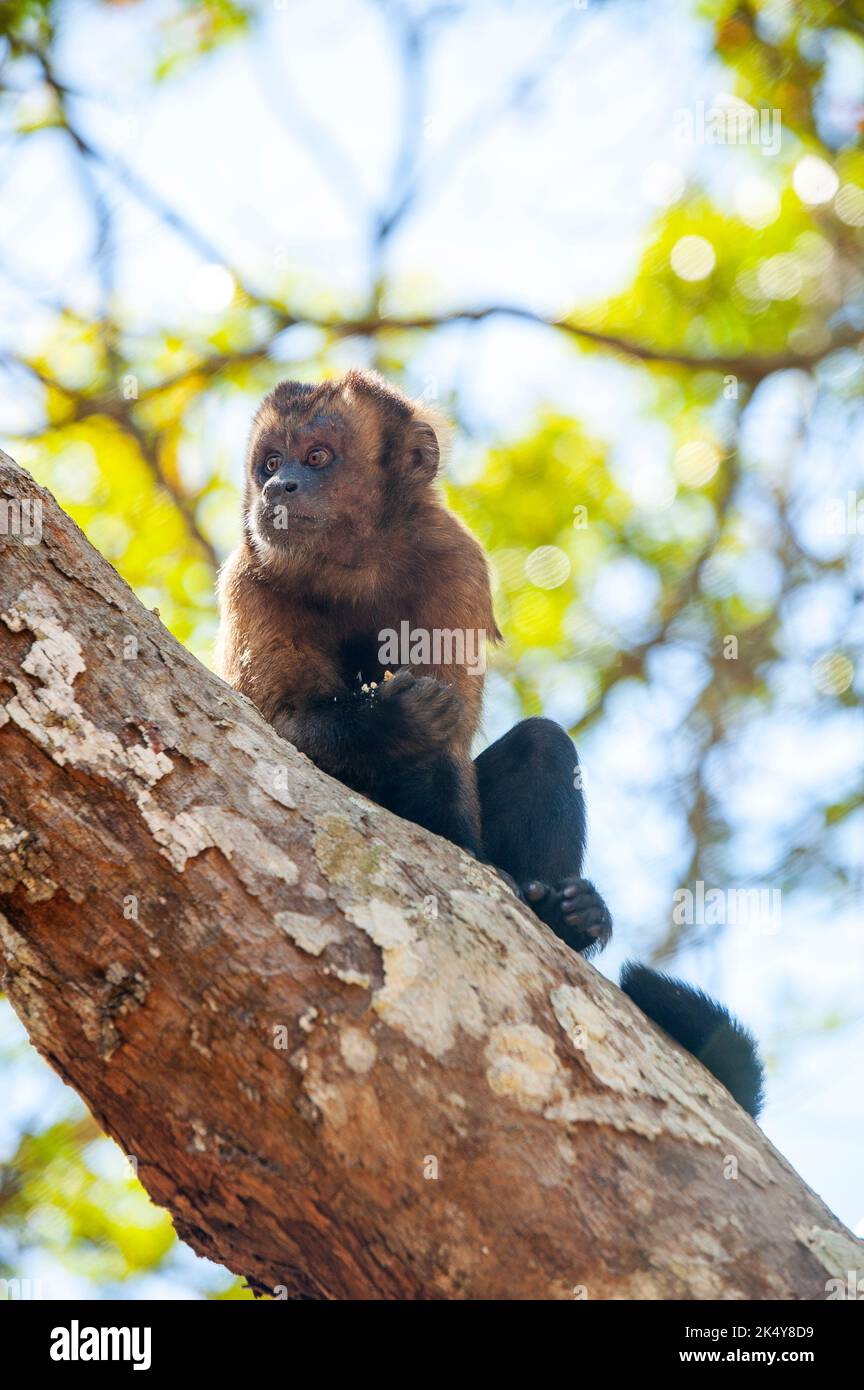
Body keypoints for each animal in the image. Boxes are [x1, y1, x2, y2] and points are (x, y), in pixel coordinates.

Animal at [219, 372, 766, 1117]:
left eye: (319, 457)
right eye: (271, 462)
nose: (280, 488)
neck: (355, 568)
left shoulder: (455, 561)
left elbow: (455, 750)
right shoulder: (249, 579)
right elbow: (273, 730)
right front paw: (389, 723)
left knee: (542, 744)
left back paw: (566, 917)